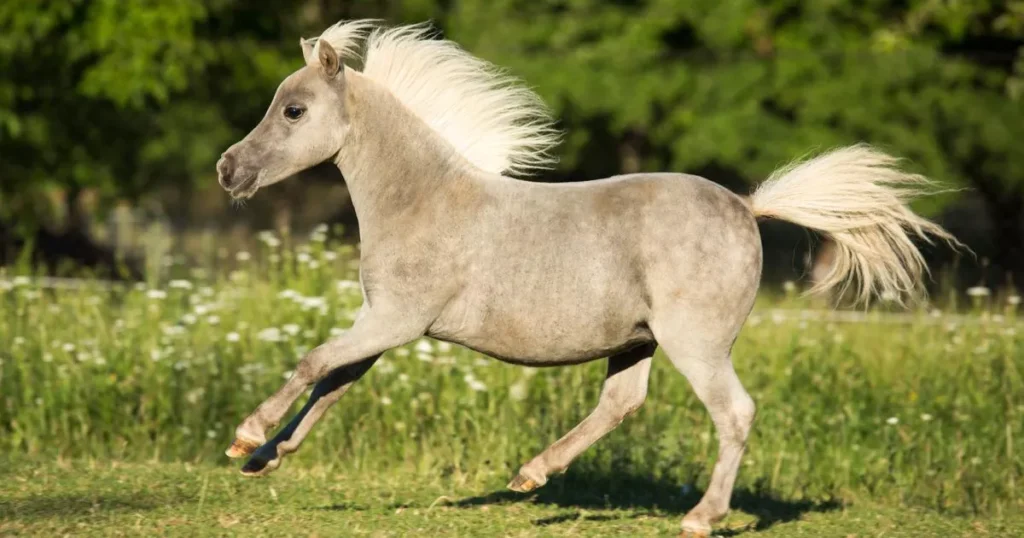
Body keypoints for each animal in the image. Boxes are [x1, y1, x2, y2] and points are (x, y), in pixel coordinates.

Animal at [216, 19, 958, 532]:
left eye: (294, 111)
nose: (228, 170)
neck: (421, 199)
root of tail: (748, 207)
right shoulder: (384, 326)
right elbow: (333, 384)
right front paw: (264, 459)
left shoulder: (394, 320)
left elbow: (315, 363)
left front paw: (245, 436)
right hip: (636, 340)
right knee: (621, 404)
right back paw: (530, 474)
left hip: (695, 343)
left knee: (734, 412)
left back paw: (699, 517)